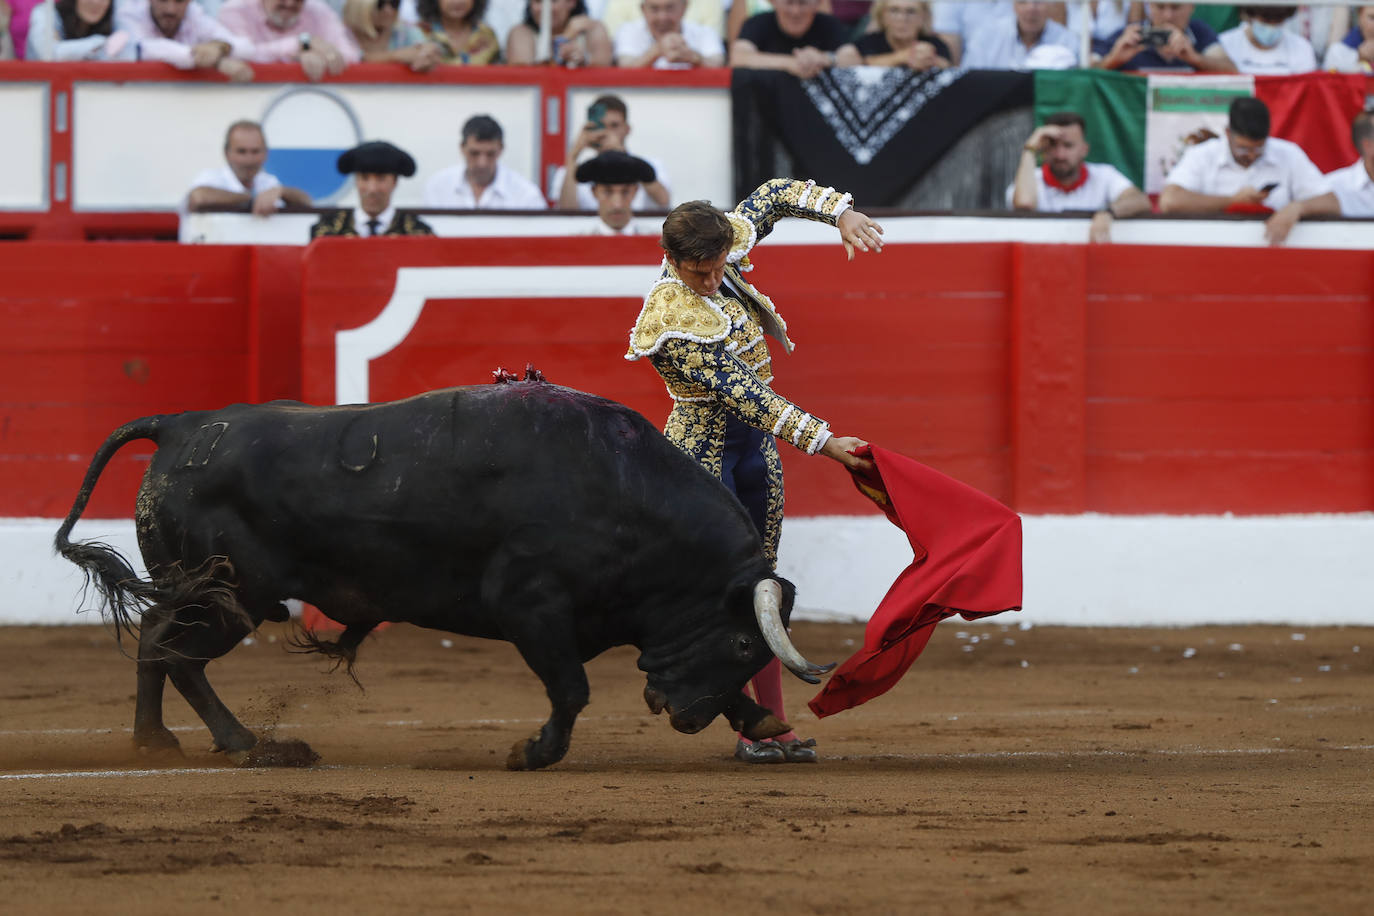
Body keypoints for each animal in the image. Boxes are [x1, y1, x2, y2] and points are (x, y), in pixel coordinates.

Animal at [53, 376, 829, 769]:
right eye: (740, 642)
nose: (687, 718)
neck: (626, 497)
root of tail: (183, 424)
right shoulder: (531, 606)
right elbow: (572, 689)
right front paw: (532, 753)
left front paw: (760, 720)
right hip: (233, 595)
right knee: (178, 653)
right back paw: (247, 744)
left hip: (203, 590)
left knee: (155, 636)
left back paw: (155, 741)